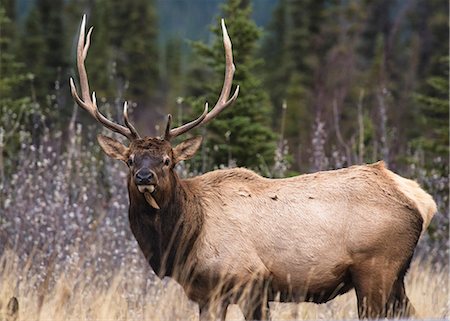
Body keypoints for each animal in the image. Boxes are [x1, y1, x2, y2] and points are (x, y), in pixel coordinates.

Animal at [71, 15, 436, 320]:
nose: (144, 177)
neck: (185, 238)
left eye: (168, 161)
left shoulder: (253, 283)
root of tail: (423, 200)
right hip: (395, 276)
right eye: (130, 159)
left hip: (377, 268)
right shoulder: (207, 295)